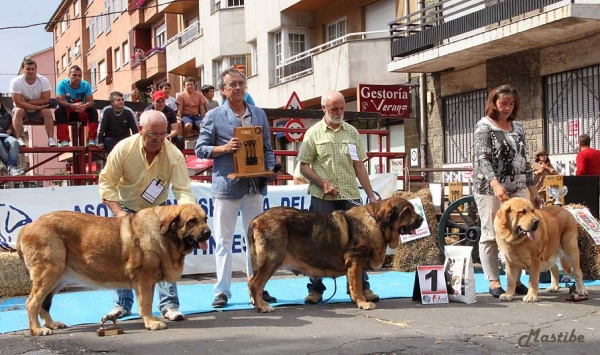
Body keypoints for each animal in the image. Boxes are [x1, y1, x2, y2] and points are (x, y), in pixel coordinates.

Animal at [16, 204, 211, 338]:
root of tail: (27, 227)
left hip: (58, 276)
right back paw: (38, 329)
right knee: (32, 302)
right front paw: (151, 322)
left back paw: (51, 324)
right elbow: (146, 304)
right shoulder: (144, 280)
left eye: (206, 219)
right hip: (49, 273)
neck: (166, 234)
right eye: (192, 221)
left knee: (44, 303)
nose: (208, 233)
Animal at [246, 197, 424, 314]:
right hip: (272, 260)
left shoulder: (355, 265)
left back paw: (255, 302)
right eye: (407, 211)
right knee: (256, 284)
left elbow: (355, 284)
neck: (376, 221)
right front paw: (362, 303)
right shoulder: (355, 260)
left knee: (250, 281)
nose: (422, 219)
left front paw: (358, 299)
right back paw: (262, 307)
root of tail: (255, 220)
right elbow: (356, 285)